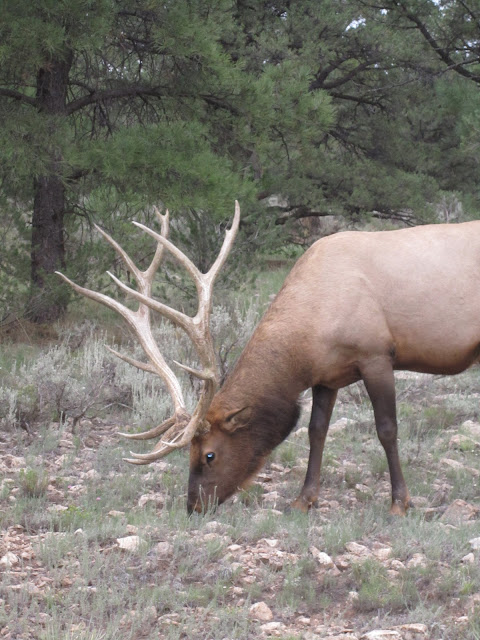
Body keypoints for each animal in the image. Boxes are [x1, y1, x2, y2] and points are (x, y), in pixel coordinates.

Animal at [57, 203, 480, 516]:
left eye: (209, 454)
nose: (194, 506)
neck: (310, 336)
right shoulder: (327, 376)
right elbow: (316, 431)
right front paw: (303, 500)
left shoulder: (375, 355)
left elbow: (387, 429)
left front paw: (399, 503)